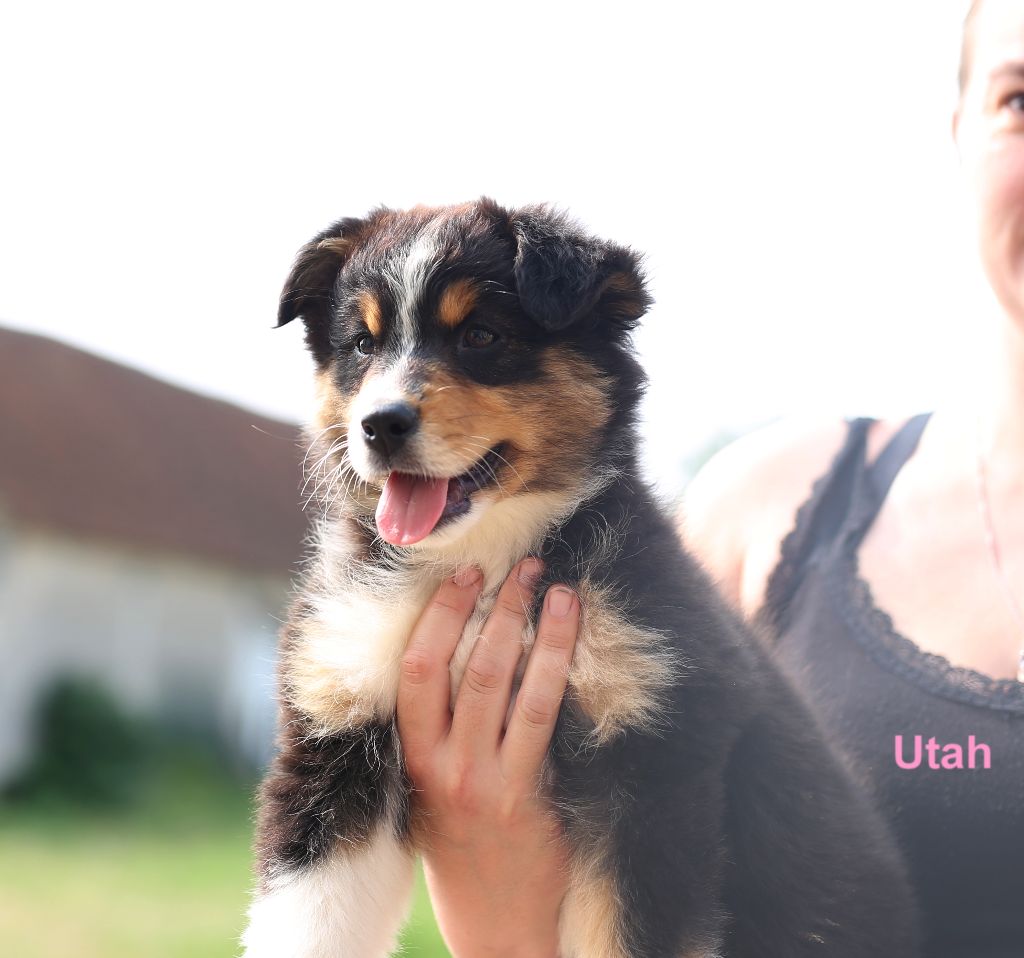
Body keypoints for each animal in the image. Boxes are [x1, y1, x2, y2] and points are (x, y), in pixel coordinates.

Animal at [242, 199, 920, 957]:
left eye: (481, 334)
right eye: (362, 345)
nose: (380, 424)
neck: (485, 556)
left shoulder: (653, 766)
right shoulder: (335, 731)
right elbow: (307, 927)